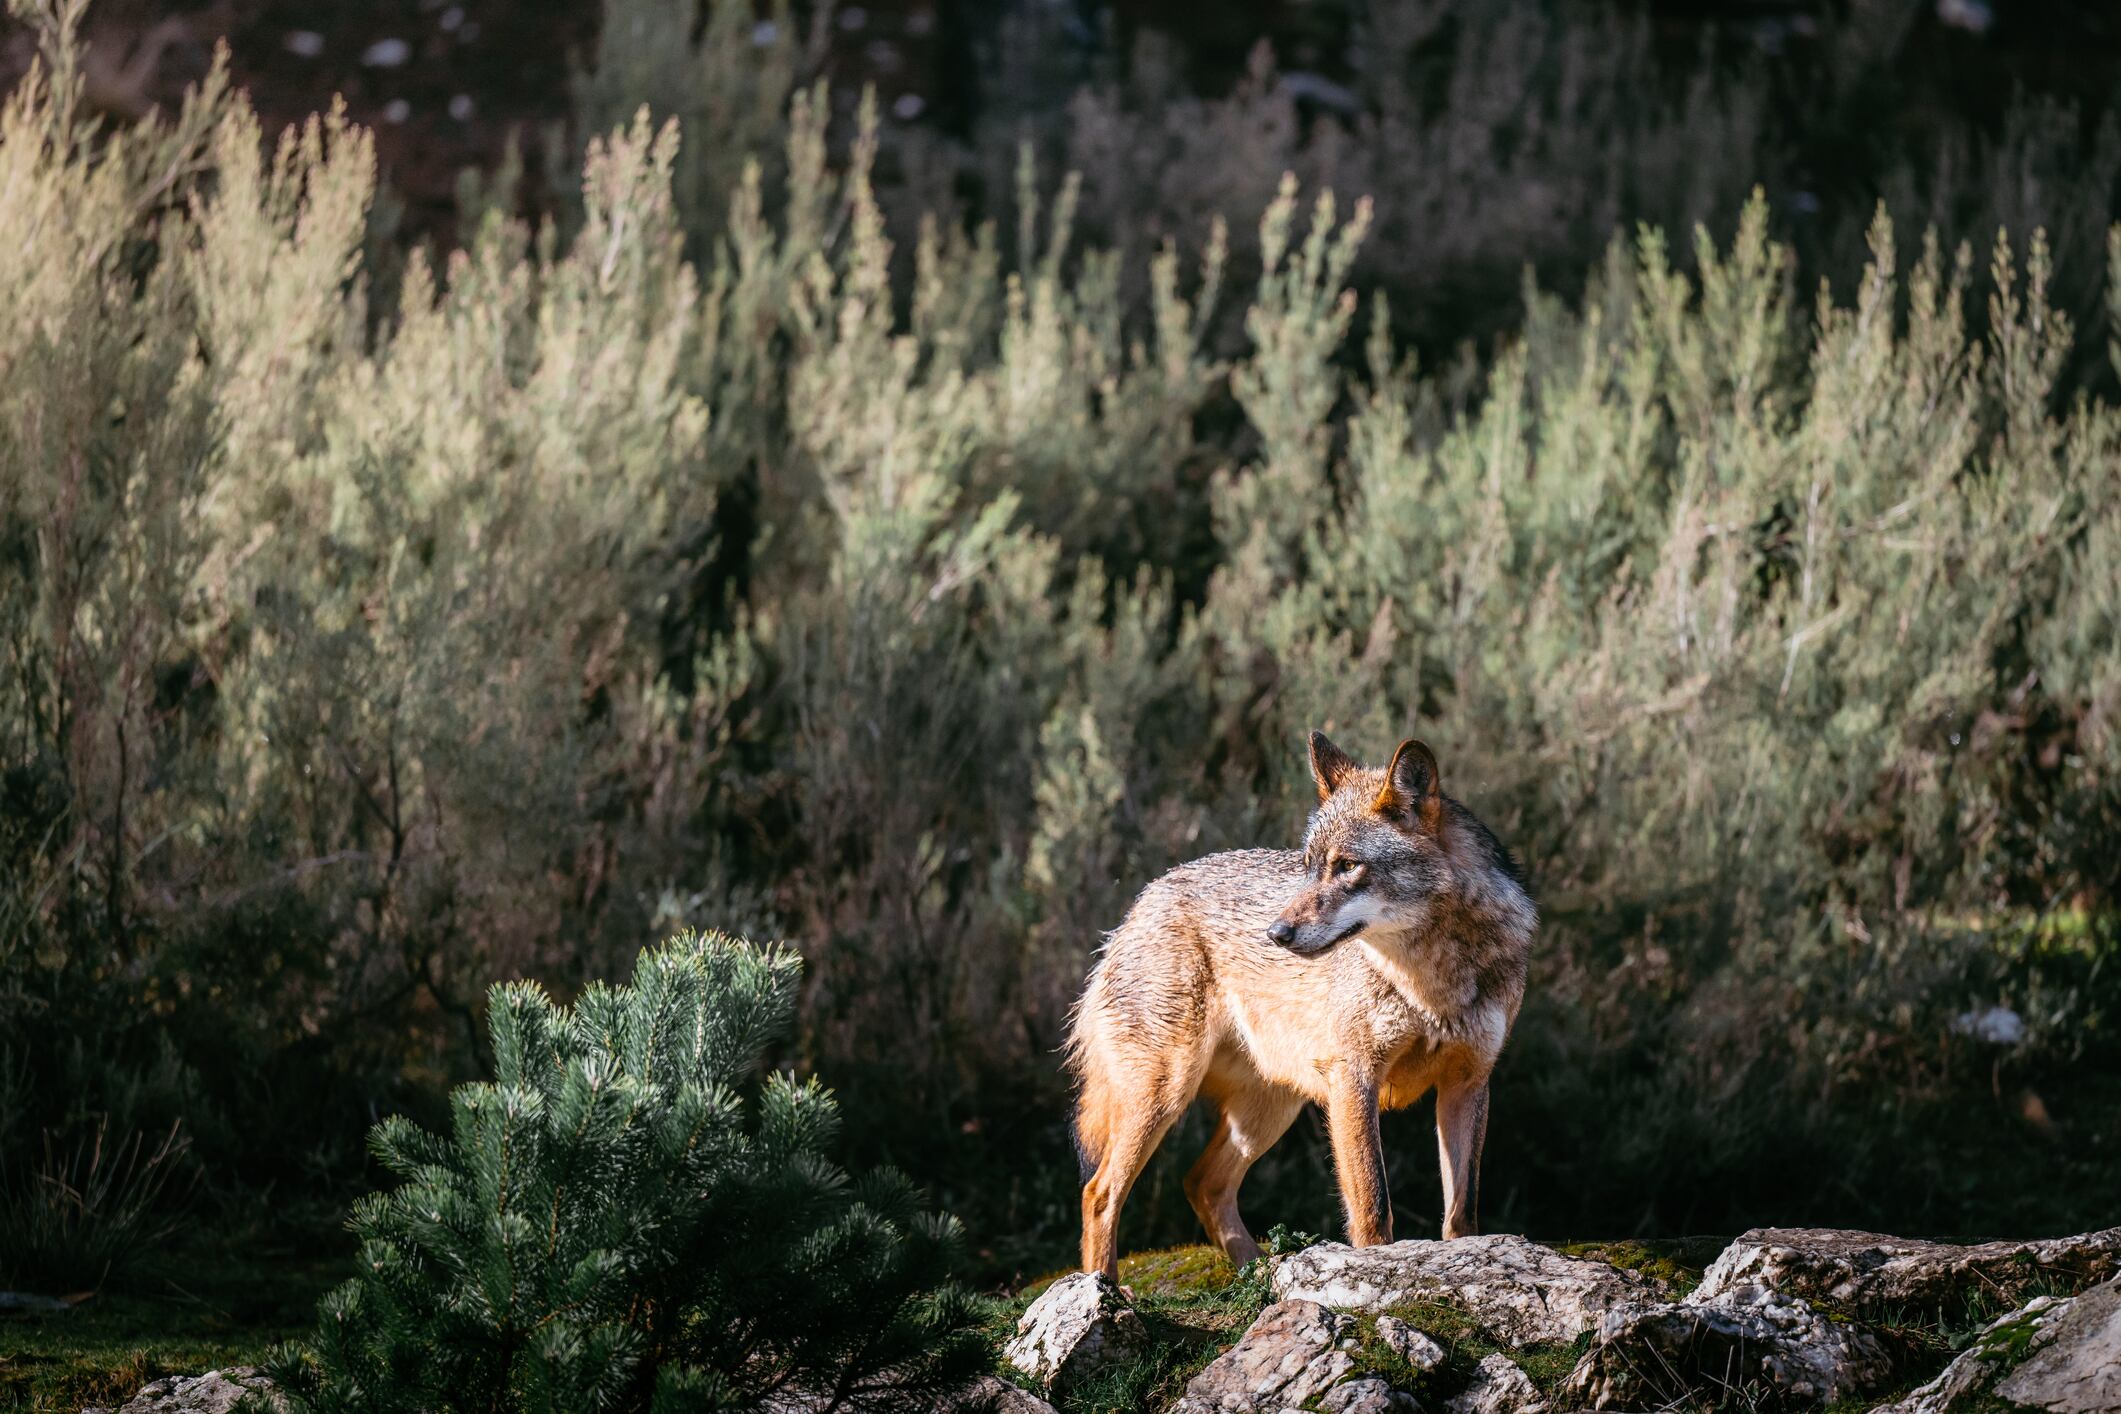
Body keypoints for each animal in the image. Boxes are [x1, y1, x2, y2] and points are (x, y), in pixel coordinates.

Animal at [1065, 732, 1535, 1278]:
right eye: (1308, 868)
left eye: (1347, 866)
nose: (1275, 933)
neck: (1431, 983)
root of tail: (1138, 905)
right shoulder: (1354, 1077)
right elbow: (1373, 1207)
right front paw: (1376, 1273)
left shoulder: (1468, 1082)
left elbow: (1462, 1214)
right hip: (1166, 1096)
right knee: (1099, 1192)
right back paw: (1105, 1289)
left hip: (1269, 1110)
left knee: (1203, 1183)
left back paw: (1260, 1276)